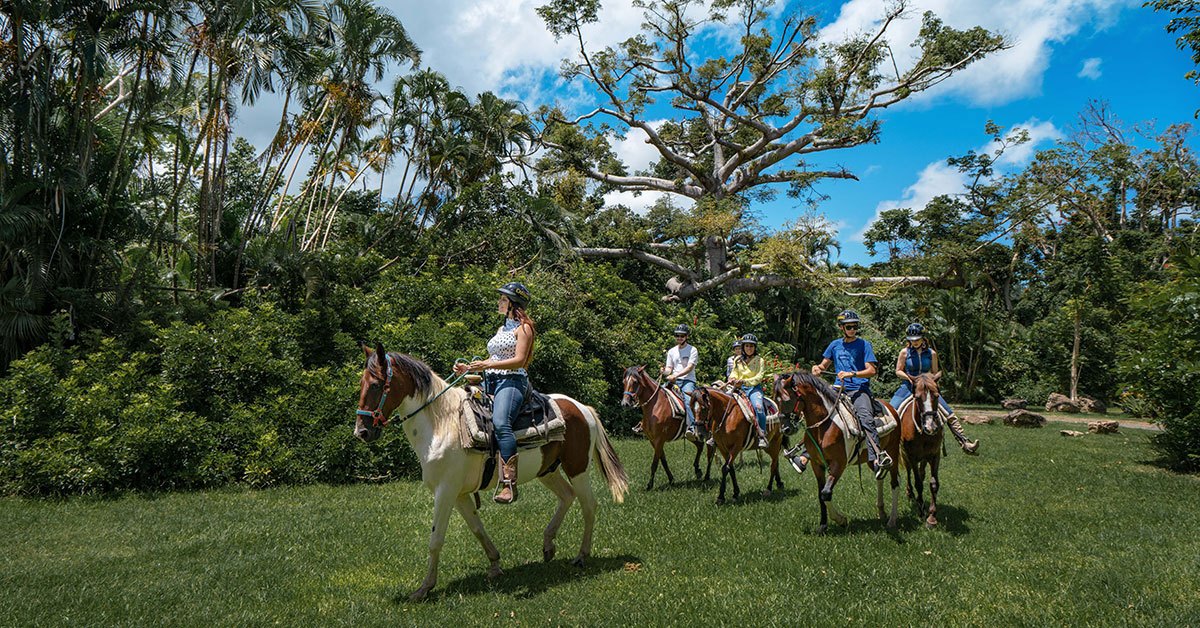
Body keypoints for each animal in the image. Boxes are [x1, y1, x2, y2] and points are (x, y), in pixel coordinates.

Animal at [768, 374, 902, 535]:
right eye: (775, 400)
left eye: (787, 399)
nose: (785, 429)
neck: (824, 426)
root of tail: (891, 408)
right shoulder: (817, 465)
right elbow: (820, 494)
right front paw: (823, 525)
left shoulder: (839, 464)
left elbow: (826, 493)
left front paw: (841, 520)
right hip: (871, 460)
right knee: (880, 476)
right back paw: (881, 512)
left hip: (893, 452)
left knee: (895, 483)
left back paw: (892, 521)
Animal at [902, 374, 945, 530]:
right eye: (918, 397)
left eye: (937, 396)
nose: (930, 426)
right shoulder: (912, 456)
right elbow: (918, 483)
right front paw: (921, 509)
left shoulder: (935, 455)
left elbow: (934, 484)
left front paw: (932, 517)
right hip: (905, 456)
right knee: (909, 472)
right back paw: (910, 494)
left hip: (925, 458)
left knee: (922, 473)